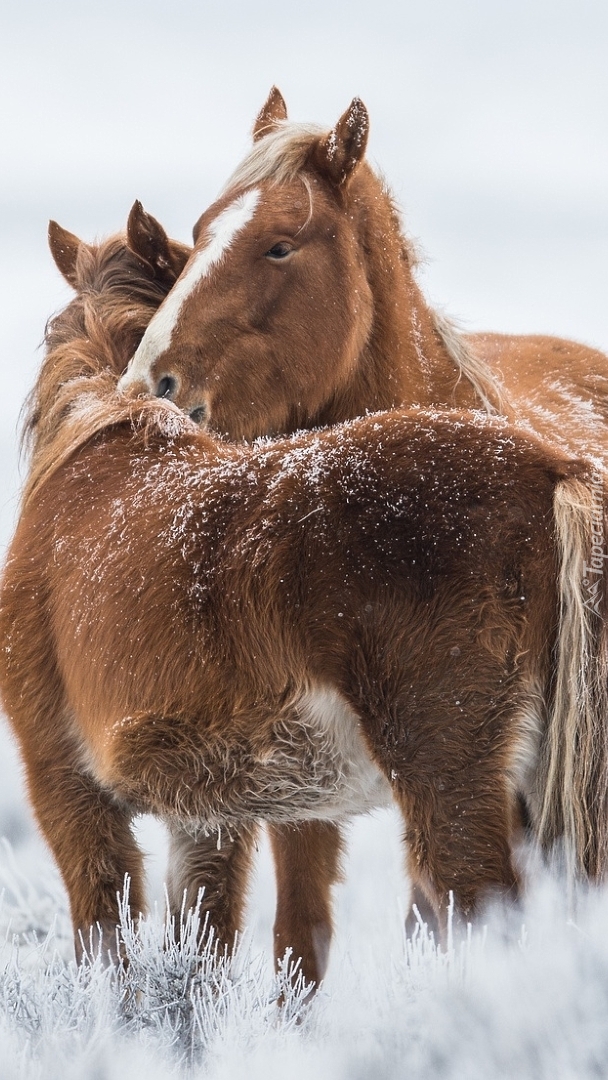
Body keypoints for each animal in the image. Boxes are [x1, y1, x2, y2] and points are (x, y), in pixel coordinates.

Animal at [1, 214, 608, 976]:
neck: (98, 438)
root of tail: (551, 465)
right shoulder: (210, 819)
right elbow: (200, 953)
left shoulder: (67, 790)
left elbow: (108, 947)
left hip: (451, 781)